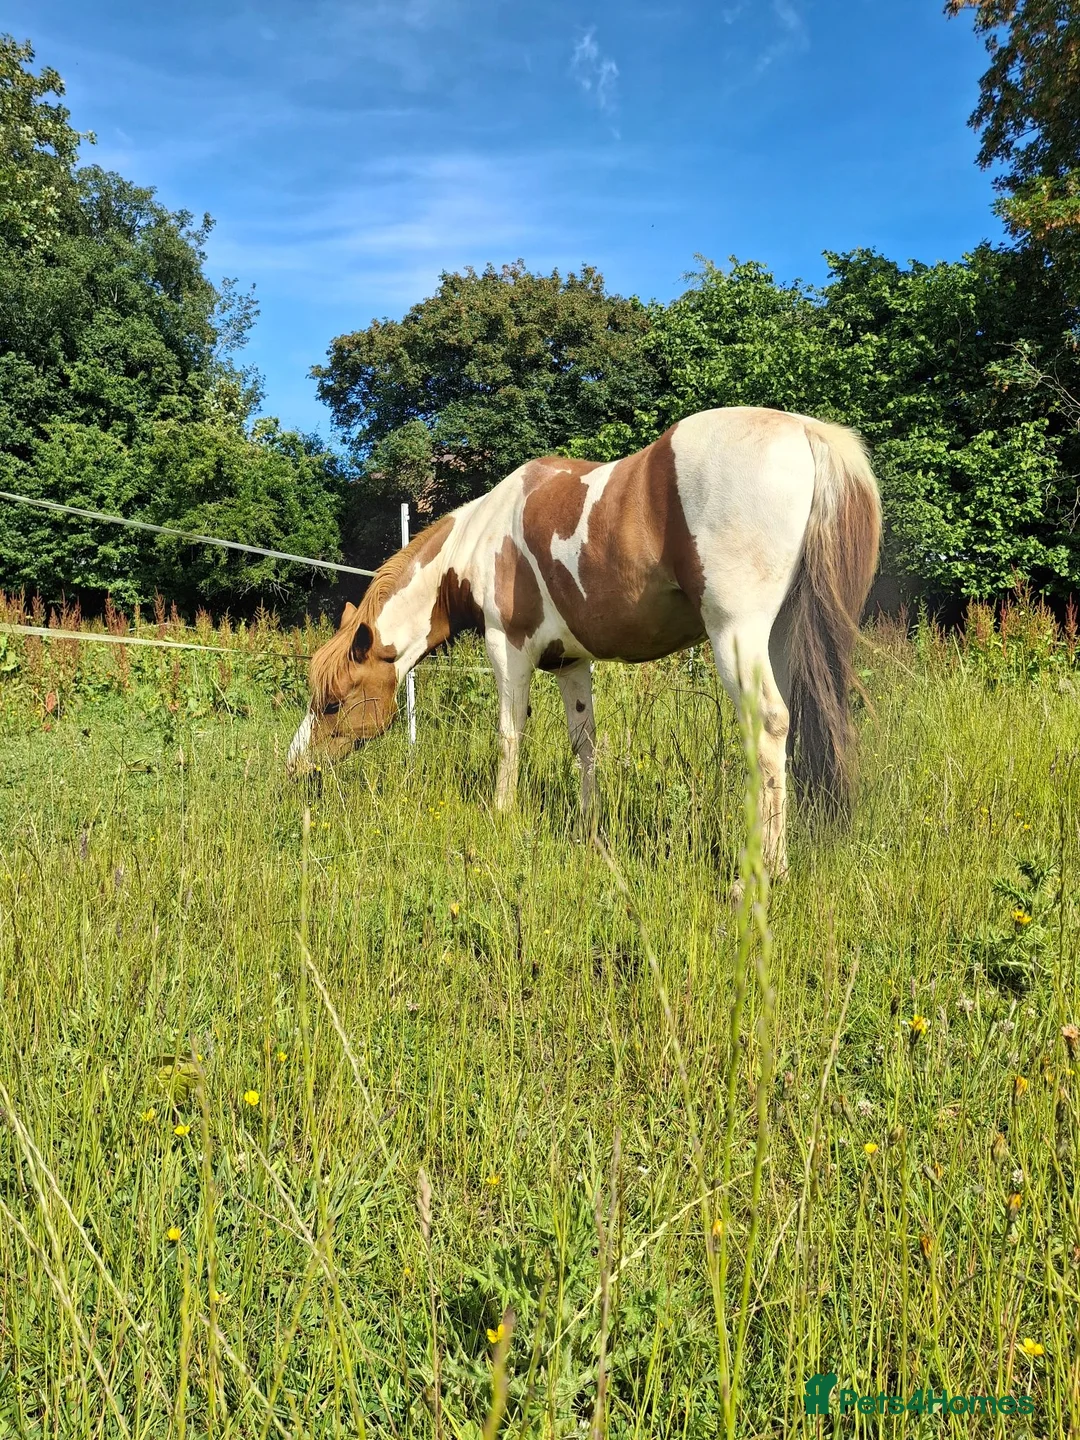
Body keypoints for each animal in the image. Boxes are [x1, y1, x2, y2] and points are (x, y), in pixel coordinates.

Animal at [287, 406, 881, 876]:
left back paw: (764, 870)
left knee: (769, 727)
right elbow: (585, 745)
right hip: (782, 638)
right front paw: (587, 832)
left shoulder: (508, 649)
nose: (293, 769)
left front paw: (501, 813)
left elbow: (509, 733)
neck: (479, 541)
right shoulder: (571, 664)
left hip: (738, 634)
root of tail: (805, 431)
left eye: (333, 704)